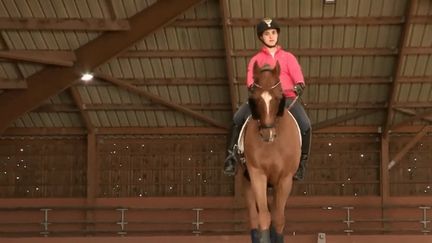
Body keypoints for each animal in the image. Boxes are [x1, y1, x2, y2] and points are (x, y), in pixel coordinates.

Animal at [241, 60, 302, 243]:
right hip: (247, 181)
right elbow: (264, 217)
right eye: (255, 98)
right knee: (254, 219)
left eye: (278, 97)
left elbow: (279, 219)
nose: (267, 134)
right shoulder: (257, 174)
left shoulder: (285, 179)